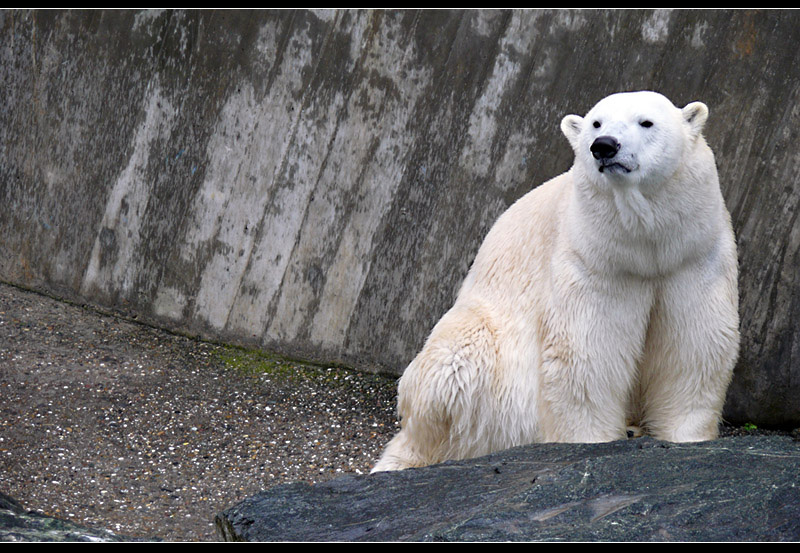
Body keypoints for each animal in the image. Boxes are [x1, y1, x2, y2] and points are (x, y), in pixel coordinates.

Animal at [372, 90, 740, 470]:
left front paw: (687, 438)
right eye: (596, 123)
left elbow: (694, 342)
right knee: (451, 368)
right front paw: (588, 441)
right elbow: (586, 349)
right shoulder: (593, 259)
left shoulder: (691, 255)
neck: (643, 246)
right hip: (482, 352)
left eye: (646, 122)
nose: (604, 146)